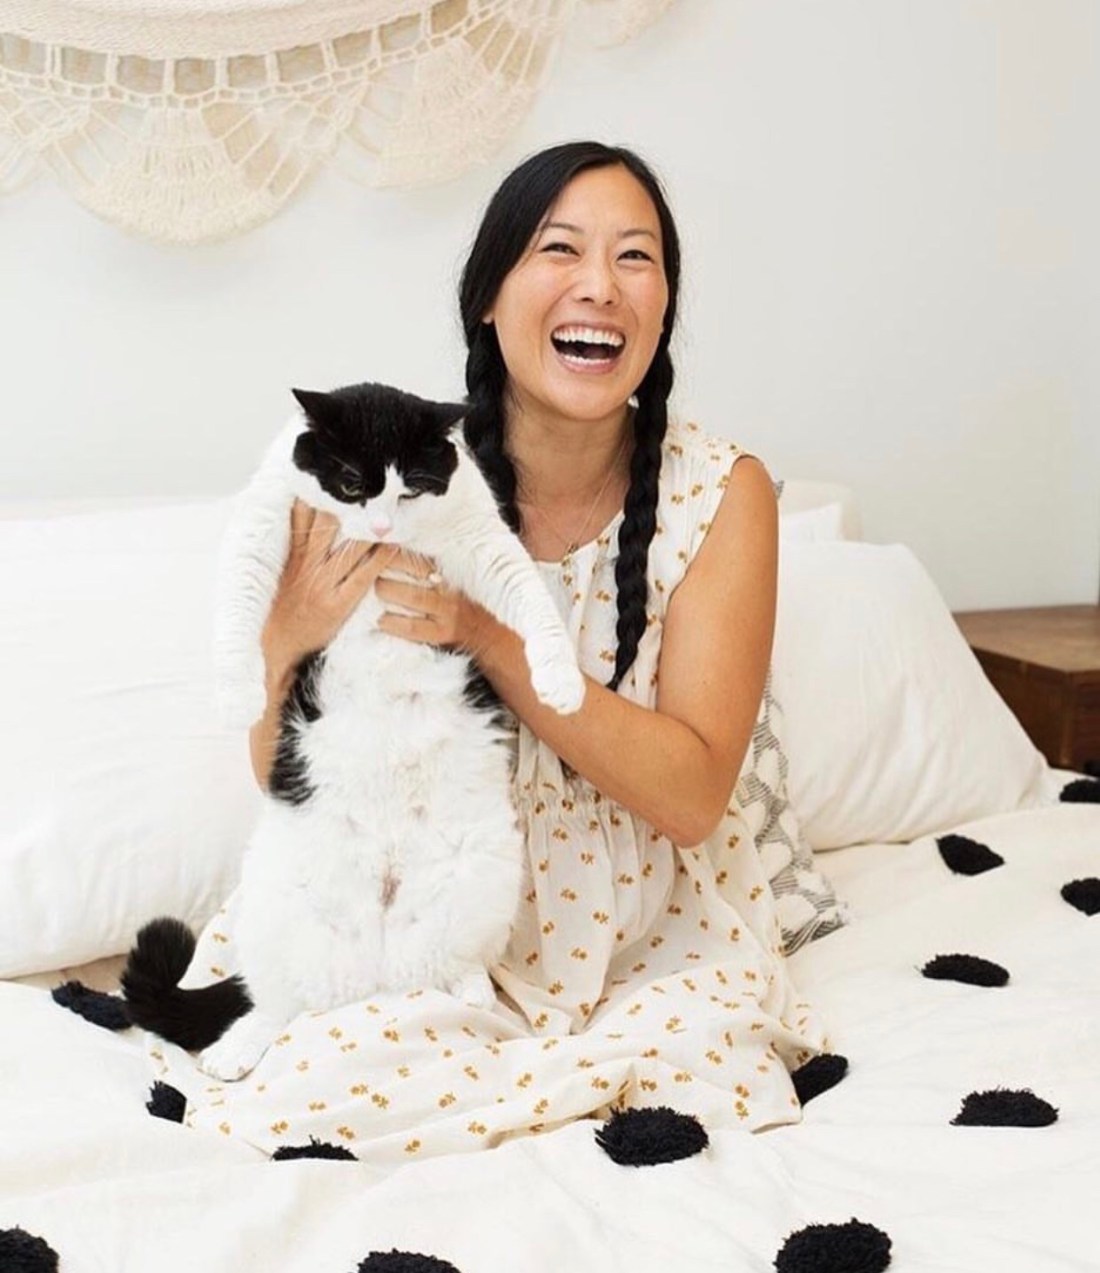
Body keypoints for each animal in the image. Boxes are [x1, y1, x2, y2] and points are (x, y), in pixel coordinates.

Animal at [122, 381, 585, 1081]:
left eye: (413, 489)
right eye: (349, 483)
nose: (383, 527)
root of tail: (376, 968)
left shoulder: (479, 535)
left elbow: (528, 596)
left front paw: (562, 681)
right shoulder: (265, 521)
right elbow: (239, 603)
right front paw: (238, 694)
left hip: (485, 870)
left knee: (450, 960)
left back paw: (472, 988)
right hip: (276, 897)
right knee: (274, 1005)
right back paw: (234, 1051)